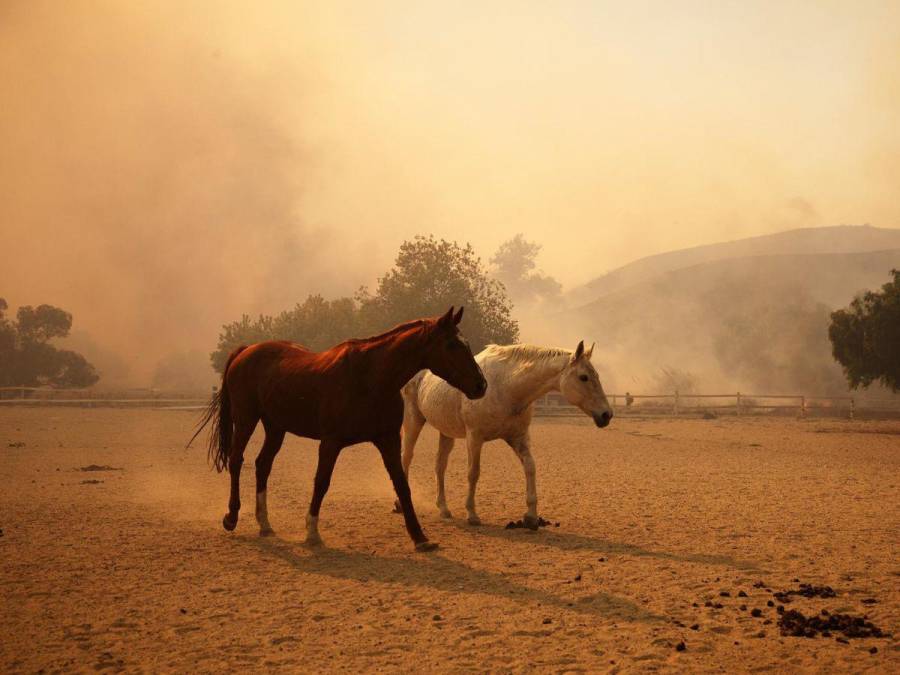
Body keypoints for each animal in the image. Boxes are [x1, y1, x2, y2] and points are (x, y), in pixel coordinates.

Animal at [188, 308, 486, 552]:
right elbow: (321, 482)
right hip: (246, 420)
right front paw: (312, 532)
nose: (481, 384)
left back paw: (265, 524)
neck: (370, 378)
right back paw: (232, 517)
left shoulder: (388, 440)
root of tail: (246, 350)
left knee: (263, 465)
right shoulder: (330, 442)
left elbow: (402, 484)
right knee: (236, 460)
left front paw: (420, 538)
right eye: (451, 345)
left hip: (275, 427)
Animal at [400, 344, 612, 528]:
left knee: (440, 466)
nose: (606, 414)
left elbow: (530, 467)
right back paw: (400, 505)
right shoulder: (474, 438)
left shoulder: (518, 438)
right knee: (407, 457)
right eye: (584, 377)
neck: (505, 386)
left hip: (446, 431)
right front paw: (472, 514)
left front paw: (531, 517)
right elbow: (473, 473)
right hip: (414, 420)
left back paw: (443, 509)